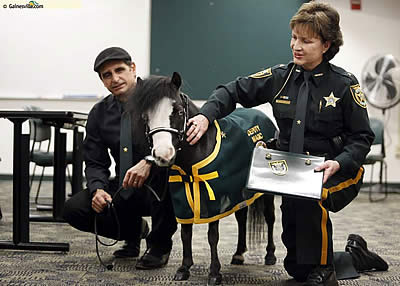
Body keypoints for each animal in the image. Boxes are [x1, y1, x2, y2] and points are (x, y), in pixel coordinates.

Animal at [127, 73, 276, 284]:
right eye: (145, 116)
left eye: (179, 112)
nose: (163, 155)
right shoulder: (183, 199)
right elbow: (185, 234)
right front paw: (184, 268)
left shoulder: (214, 200)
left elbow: (212, 236)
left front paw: (214, 273)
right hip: (237, 193)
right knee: (241, 218)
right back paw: (239, 254)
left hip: (265, 193)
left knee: (270, 218)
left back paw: (270, 255)